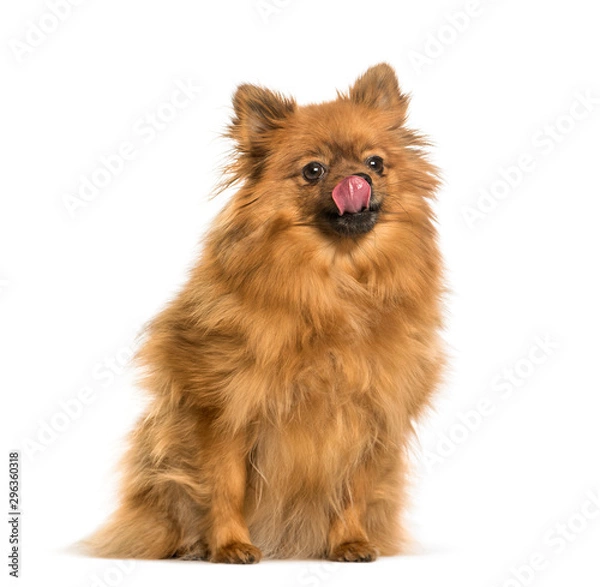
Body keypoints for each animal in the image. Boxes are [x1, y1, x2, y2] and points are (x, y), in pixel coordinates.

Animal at [86, 64, 442, 564]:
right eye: (313, 170)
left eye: (375, 163)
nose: (357, 179)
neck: (336, 286)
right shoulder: (224, 411)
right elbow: (225, 485)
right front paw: (230, 545)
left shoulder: (372, 415)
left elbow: (354, 490)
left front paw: (349, 542)